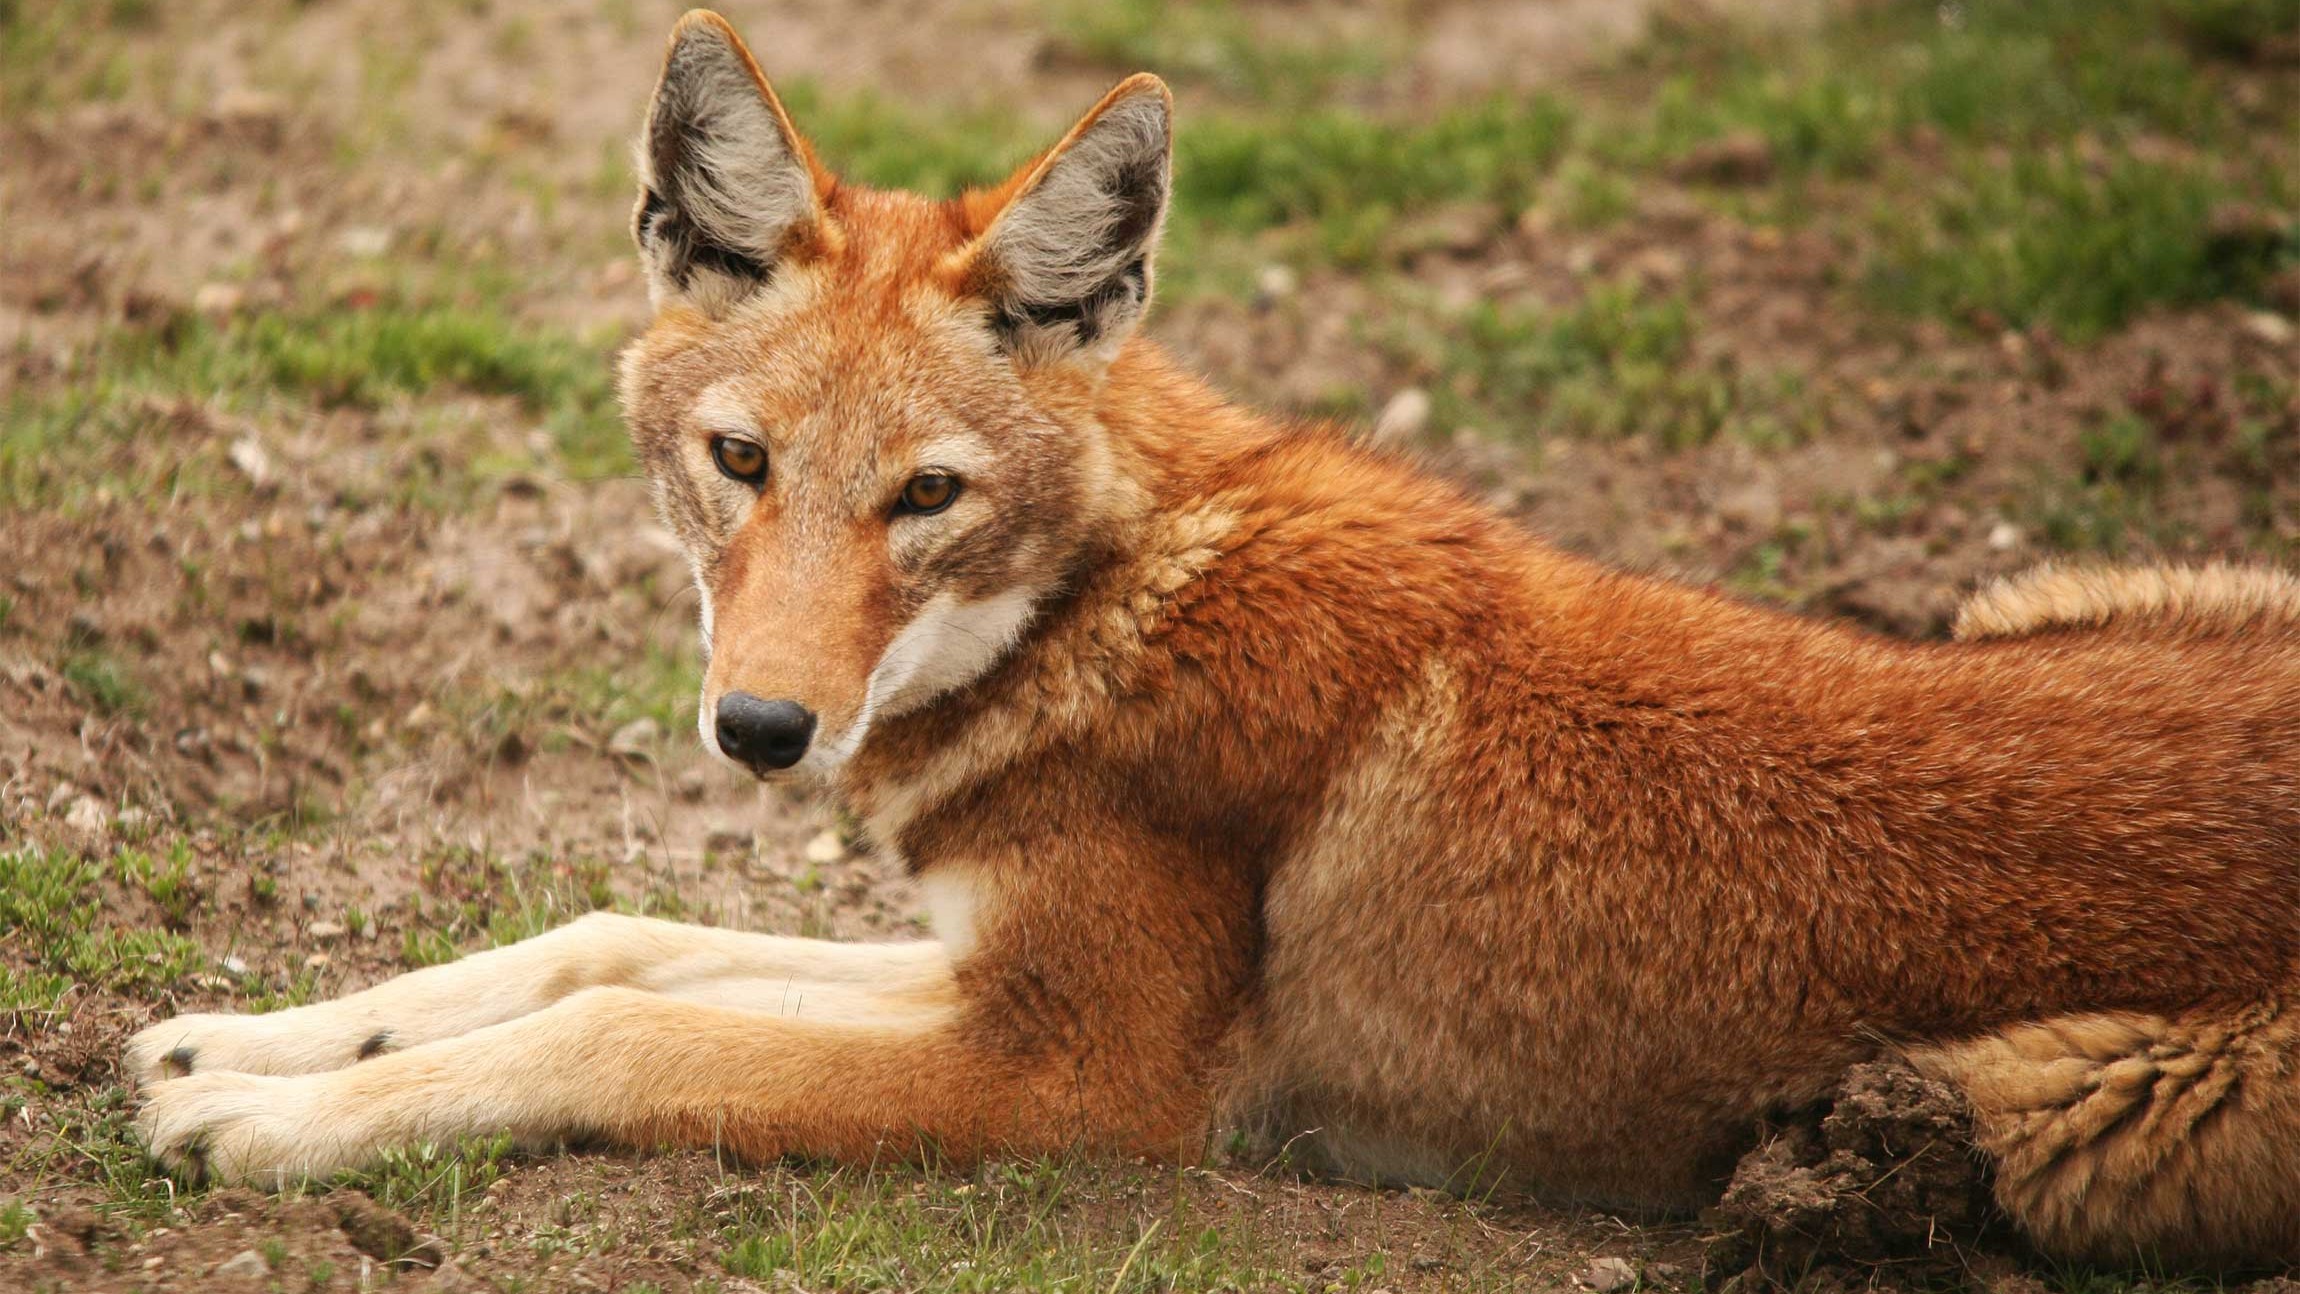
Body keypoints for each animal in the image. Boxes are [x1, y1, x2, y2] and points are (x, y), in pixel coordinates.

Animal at [131, 10, 2300, 1268]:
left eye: (922, 496)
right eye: (741, 461)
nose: (759, 728)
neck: (1107, 604)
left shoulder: (1082, 1074)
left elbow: (629, 1021)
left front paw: (272, 1119)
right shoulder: (971, 962)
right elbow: (610, 939)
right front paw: (247, 1036)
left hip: (2077, 1107)